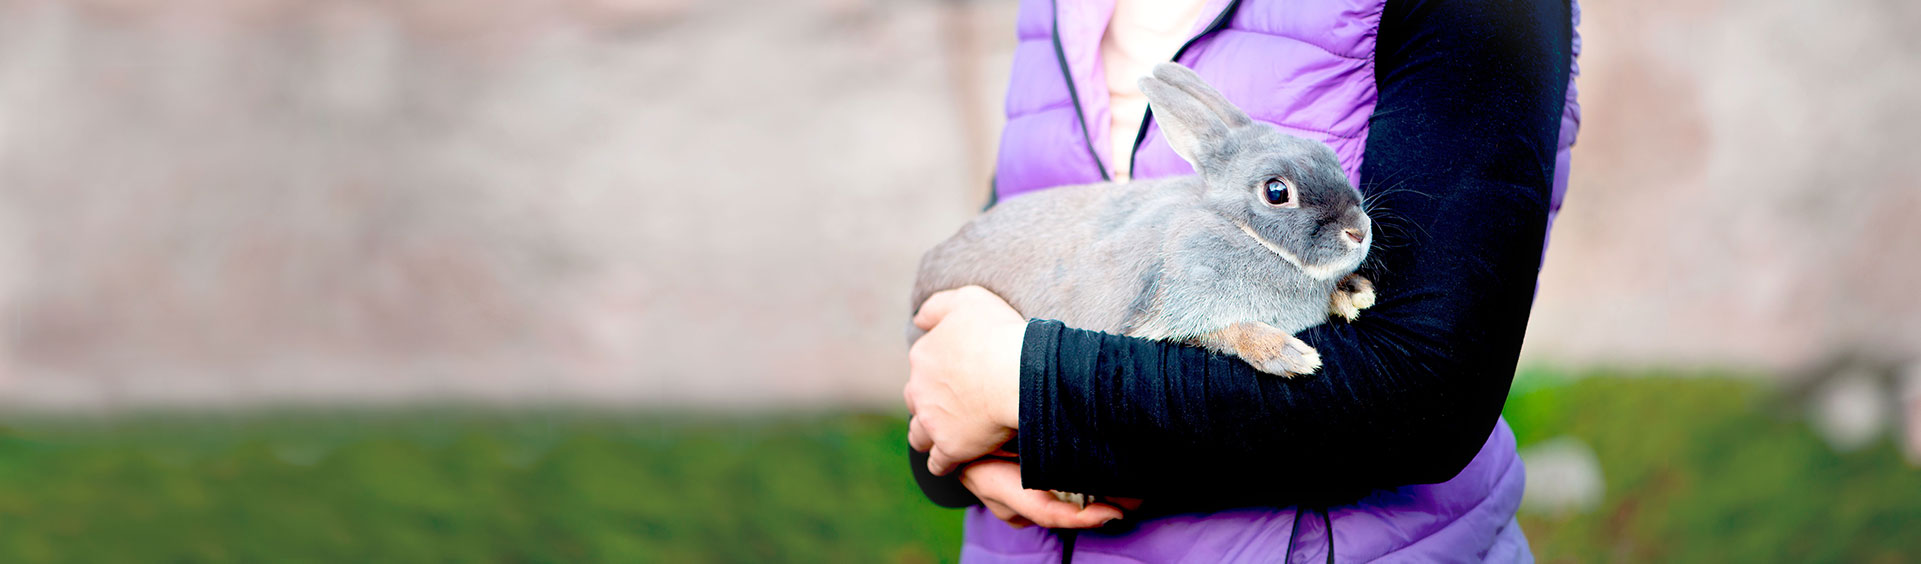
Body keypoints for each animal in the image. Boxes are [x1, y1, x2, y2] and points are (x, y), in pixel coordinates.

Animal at [909, 62, 1375, 379]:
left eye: (1329, 155)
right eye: (1276, 192)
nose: (1359, 231)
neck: (1240, 231)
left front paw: (1354, 293)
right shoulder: (1169, 315)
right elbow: (1227, 330)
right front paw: (1289, 355)